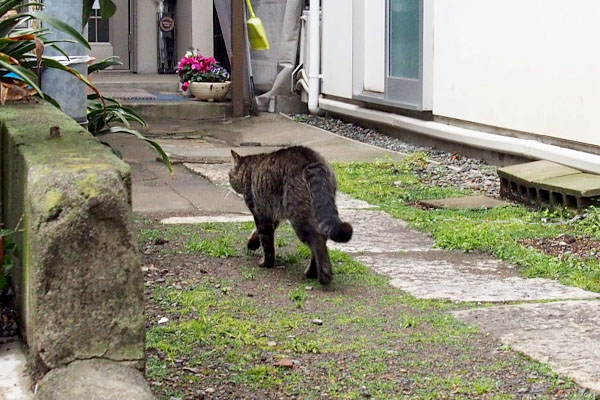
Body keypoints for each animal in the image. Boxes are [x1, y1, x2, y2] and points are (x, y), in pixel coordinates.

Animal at [229, 145, 352, 282]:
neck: (248, 171)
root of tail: (311, 161)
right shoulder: (273, 214)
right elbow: (258, 233)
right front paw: (252, 243)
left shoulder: (260, 213)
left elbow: (266, 241)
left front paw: (267, 263)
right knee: (321, 240)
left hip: (299, 217)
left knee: (318, 241)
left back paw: (320, 274)